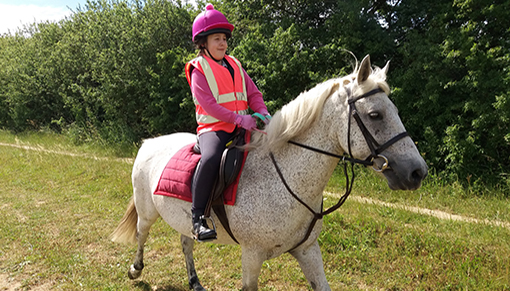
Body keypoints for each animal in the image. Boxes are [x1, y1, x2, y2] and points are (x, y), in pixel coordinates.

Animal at [111, 56, 426, 290]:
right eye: (375, 115)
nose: (417, 171)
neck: (284, 178)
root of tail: (150, 142)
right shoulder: (252, 255)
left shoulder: (308, 250)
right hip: (147, 211)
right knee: (141, 235)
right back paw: (135, 270)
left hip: (181, 217)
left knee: (186, 242)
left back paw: (194, 281)